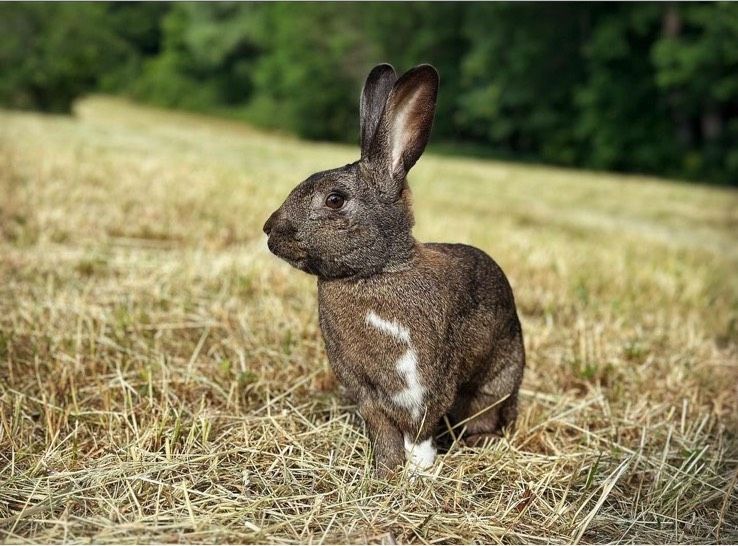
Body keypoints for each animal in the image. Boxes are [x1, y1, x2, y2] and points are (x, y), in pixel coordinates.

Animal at [264, 61, 524, 474]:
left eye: (335, 200)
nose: (270, 230)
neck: (374, 274)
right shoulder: (365, 391)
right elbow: (383, 431)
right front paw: (387, 473)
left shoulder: (427, 379)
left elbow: (420, 431)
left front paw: (419, 471)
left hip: (496, 383)